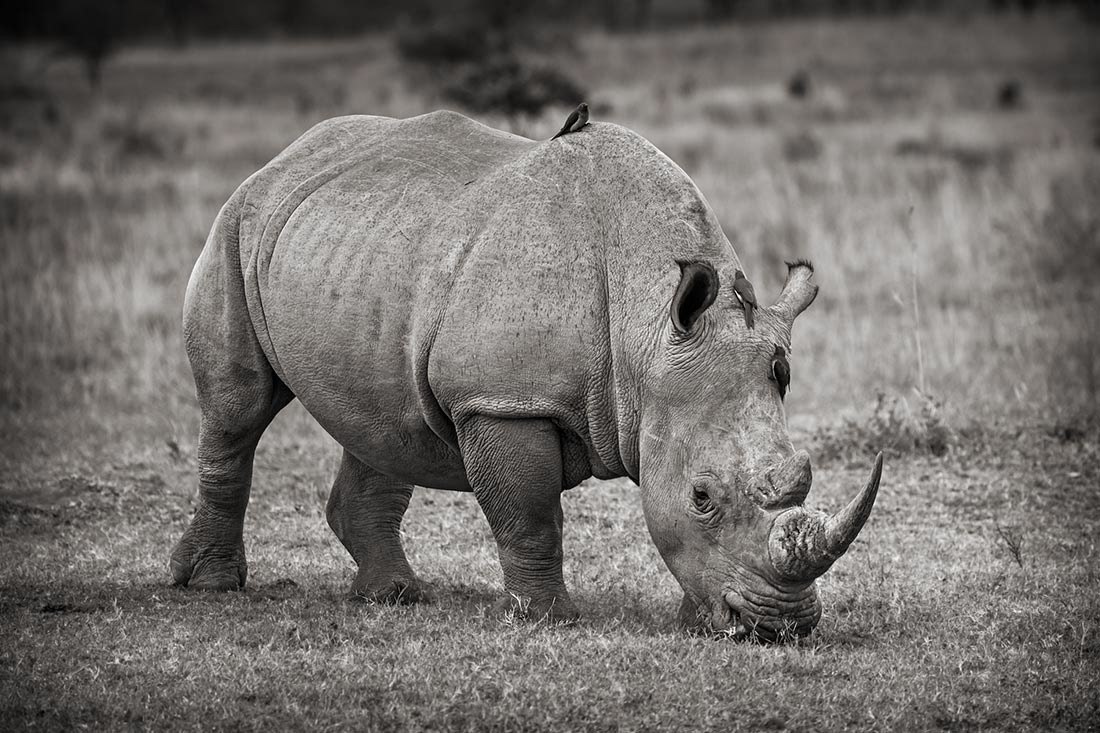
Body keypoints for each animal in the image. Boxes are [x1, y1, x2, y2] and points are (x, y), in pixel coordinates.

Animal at [171, 110, 883, 641]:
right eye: (702, 497)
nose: (781, 626)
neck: (647, 340)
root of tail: (283, 158)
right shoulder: (504, 400)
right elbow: (530, 515)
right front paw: (546, 619)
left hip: (360, 250)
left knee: (384, 423)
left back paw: (394, 598)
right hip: (236, 227)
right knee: (238, 409)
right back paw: (210, 585)